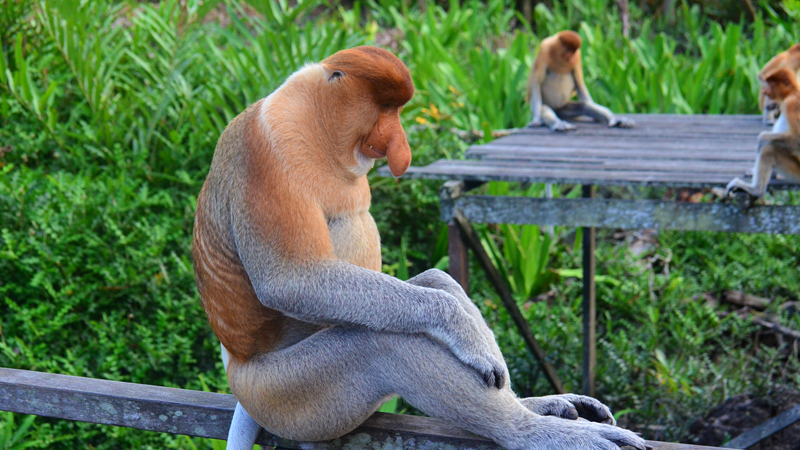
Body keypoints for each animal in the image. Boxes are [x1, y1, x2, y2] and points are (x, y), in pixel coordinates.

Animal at [192, 45, 646, 450]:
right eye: (385, 109)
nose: (400, 144)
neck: (314, 121)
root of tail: (237, 366)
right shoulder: (265, 153)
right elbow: (290, 280)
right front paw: (470, 335)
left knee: (432, 281)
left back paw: (543, 405)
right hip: (286, 394)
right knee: (381, 344)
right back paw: (536, 431)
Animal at [726, 68, 800, 198]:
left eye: (771, 84)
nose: (765, 91)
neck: (792, 92)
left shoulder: (792, 104)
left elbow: (797, 138)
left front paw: (761, 138)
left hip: (796, 171)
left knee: (768, 150)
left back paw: (755, 190)